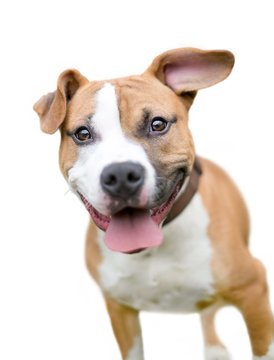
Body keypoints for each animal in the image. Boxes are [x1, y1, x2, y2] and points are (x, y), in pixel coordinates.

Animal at [32, 48, 274, 360]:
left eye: (158, 124)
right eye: (82, 133)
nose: (121, 175)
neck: (153, 248)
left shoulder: (254, 290)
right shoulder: (120, 309)